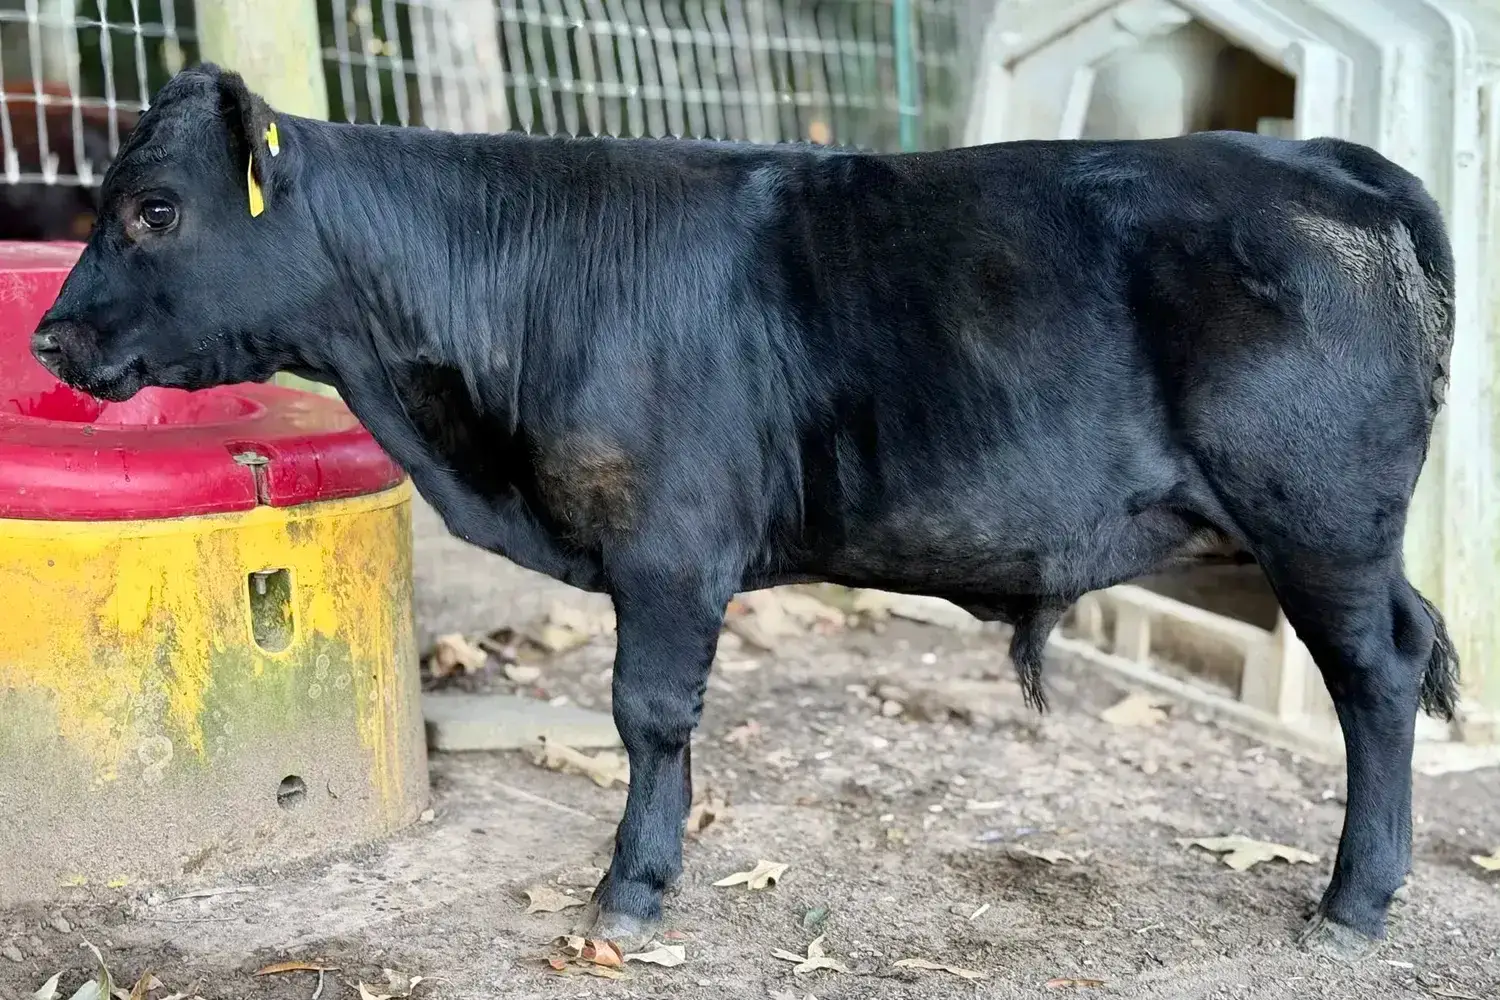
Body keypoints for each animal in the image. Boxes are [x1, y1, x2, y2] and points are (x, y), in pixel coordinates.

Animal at [30, 64, 1459, 961]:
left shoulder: (669, 545)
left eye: (154, 208)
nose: (48, 335)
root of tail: (1326, 159)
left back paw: (1353, 903)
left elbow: (650, 717)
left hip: (1318, 519)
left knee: (1377, 679)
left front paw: (630, 889)